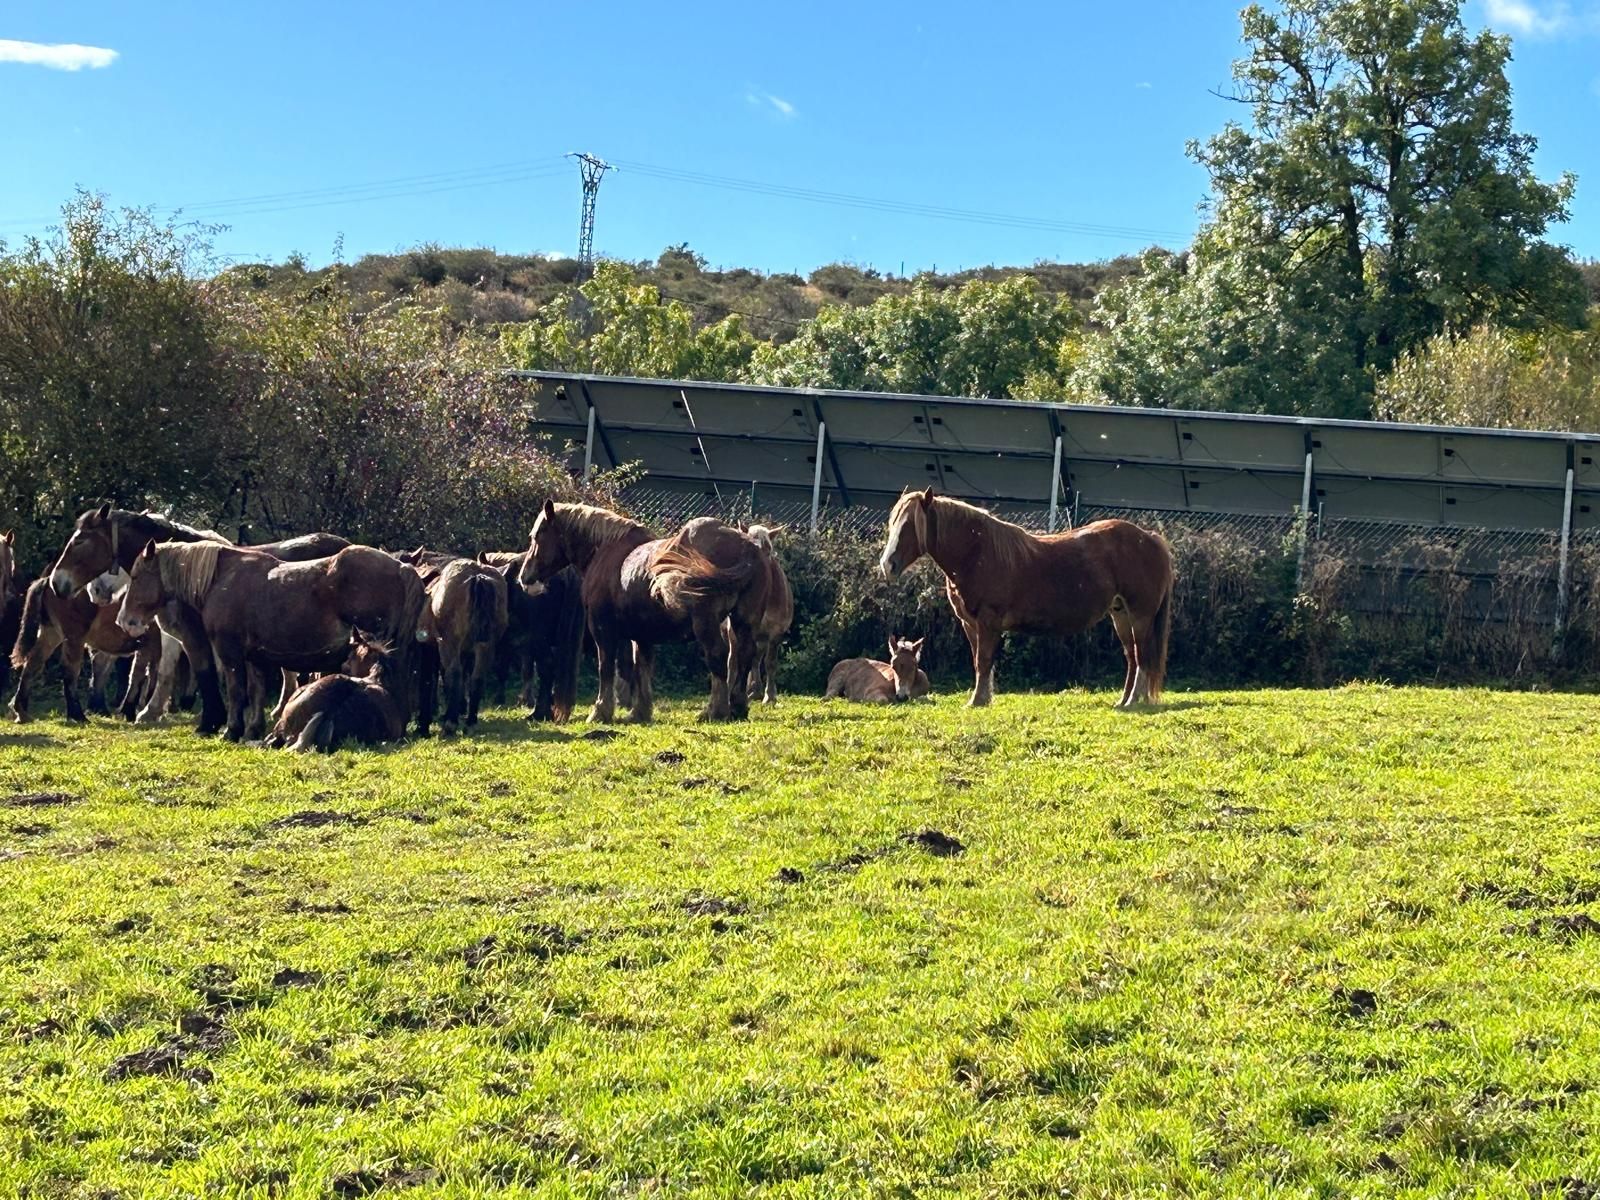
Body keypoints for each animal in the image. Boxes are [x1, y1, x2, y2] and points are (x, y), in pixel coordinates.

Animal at [116, 544, 425, 742]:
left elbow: (237, 691)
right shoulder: (255, 657)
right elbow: (257, 691)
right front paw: (252, 728)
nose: (125, 621)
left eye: (136, 576)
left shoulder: (230, 652)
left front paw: (232, 730)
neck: (222, 579)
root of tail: (401, 567)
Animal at [518, 499, 768, 723]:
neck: (606, 552)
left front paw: (600, 711)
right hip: (742, 622)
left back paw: (715, 710)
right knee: (744, 656)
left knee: (717, 656)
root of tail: (746, 547)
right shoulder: (642, 635)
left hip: (705, 622)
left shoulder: (602, 629)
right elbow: (642, 668)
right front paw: (640, 712)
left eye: (537, 535)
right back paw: (738, 707)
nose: (524, 577)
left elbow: (606, 667)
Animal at [876, 489, 1177, 710]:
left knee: (1142, 655)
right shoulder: (970, 624)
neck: (976, 553)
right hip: (1120, 614)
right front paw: (983, 698)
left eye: (909, 525)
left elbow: (983, 660)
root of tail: (1149, 538)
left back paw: (1134, 700)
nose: (887, 565)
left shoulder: (988, 621)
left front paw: (977, 701)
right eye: (894, 523)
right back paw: (1124, 700)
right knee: (1132, 656)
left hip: (1140, 616)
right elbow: (979, 661)